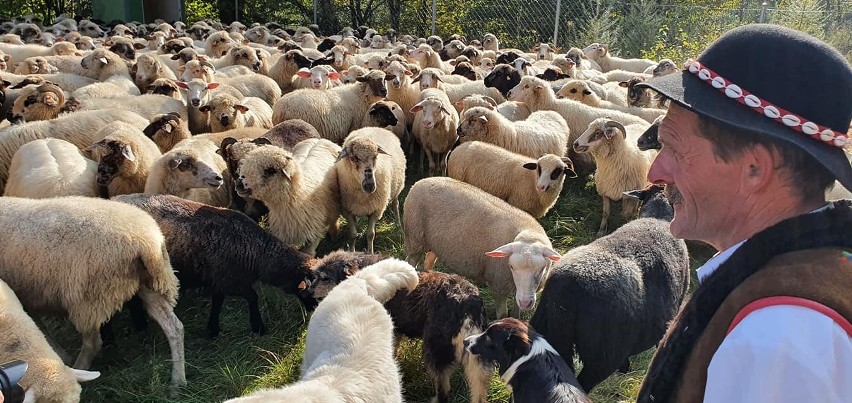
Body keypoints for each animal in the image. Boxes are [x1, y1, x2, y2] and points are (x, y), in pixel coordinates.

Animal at [0, 197, 186, 396]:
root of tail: (147, 241)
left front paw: (61, 356)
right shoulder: (23, 294)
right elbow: (38, 327)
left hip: (88, 297)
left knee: (93, 343)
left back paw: (79, 368)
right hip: (147, 284)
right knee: (174, 327)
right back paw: (177, 382)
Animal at [404, 177, 564, 318]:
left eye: (542, 269)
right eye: (511, 267)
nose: (526, 303)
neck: (528, 235)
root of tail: (421, 181)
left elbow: (517, 311)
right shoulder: (499, 285)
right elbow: (502, 314)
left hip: (435, 243)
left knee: (429, 261)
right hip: (415, 238)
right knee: (410, 262)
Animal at [446, 141, 580, 218]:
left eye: (558, 171)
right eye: (539, 168)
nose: (540, 187)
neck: (533, 180)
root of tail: (459, 147)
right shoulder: (519, 204)